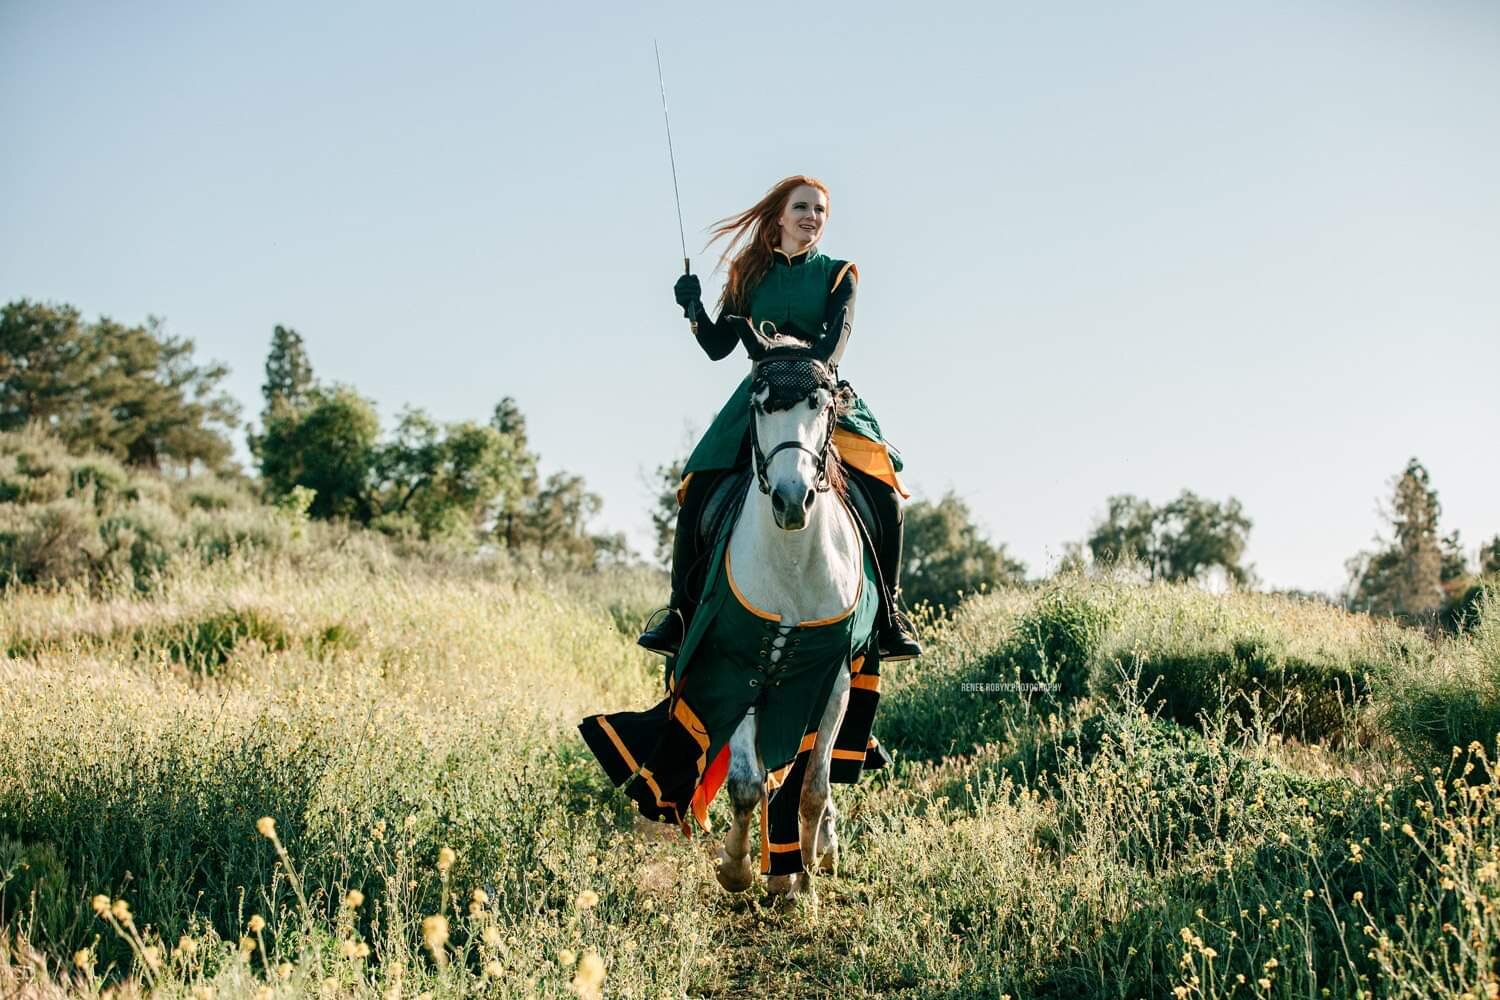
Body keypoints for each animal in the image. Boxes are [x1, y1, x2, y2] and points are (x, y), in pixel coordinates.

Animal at [714, 340, 870, 905]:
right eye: (760, 406)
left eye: (821, 406)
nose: (790, 500)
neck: (793, 560)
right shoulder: (740, 666)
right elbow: (746, 783)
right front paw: (738, 869)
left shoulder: (832, 680)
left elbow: (813, 787)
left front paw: (802, 880)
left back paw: (815, 854)